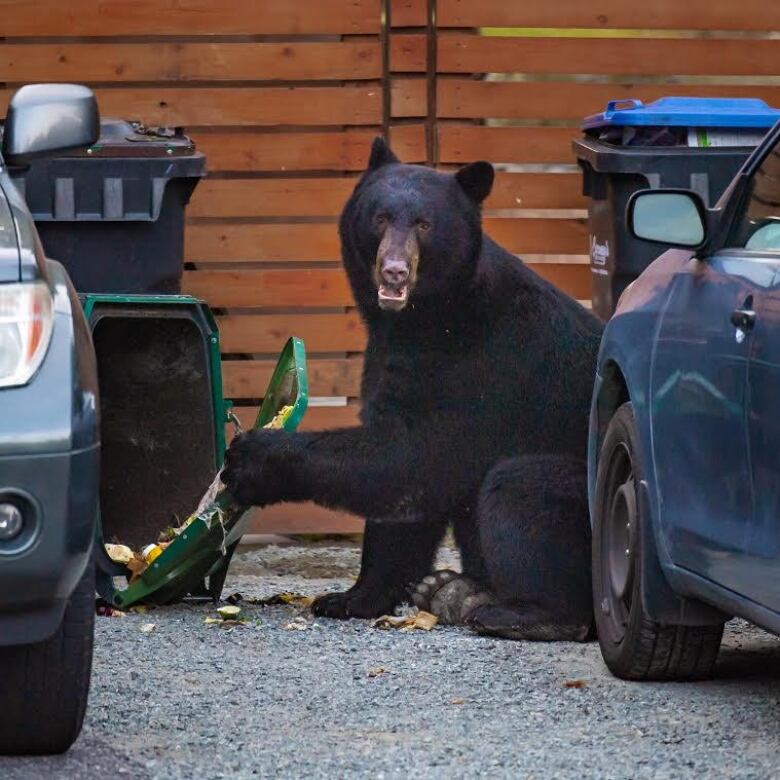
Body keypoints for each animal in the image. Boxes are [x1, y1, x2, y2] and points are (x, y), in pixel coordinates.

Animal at [221, 139, 604, 640]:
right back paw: (451, 591)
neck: (427, 319)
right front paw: (351, 598)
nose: (395, 271)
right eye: (381, 217)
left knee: (523, 490)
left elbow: (413, 458)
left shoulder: (483, 362)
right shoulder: (389, 356)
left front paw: (251, 459)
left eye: (425, 224)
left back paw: (520, 612)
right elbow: (402, 498)